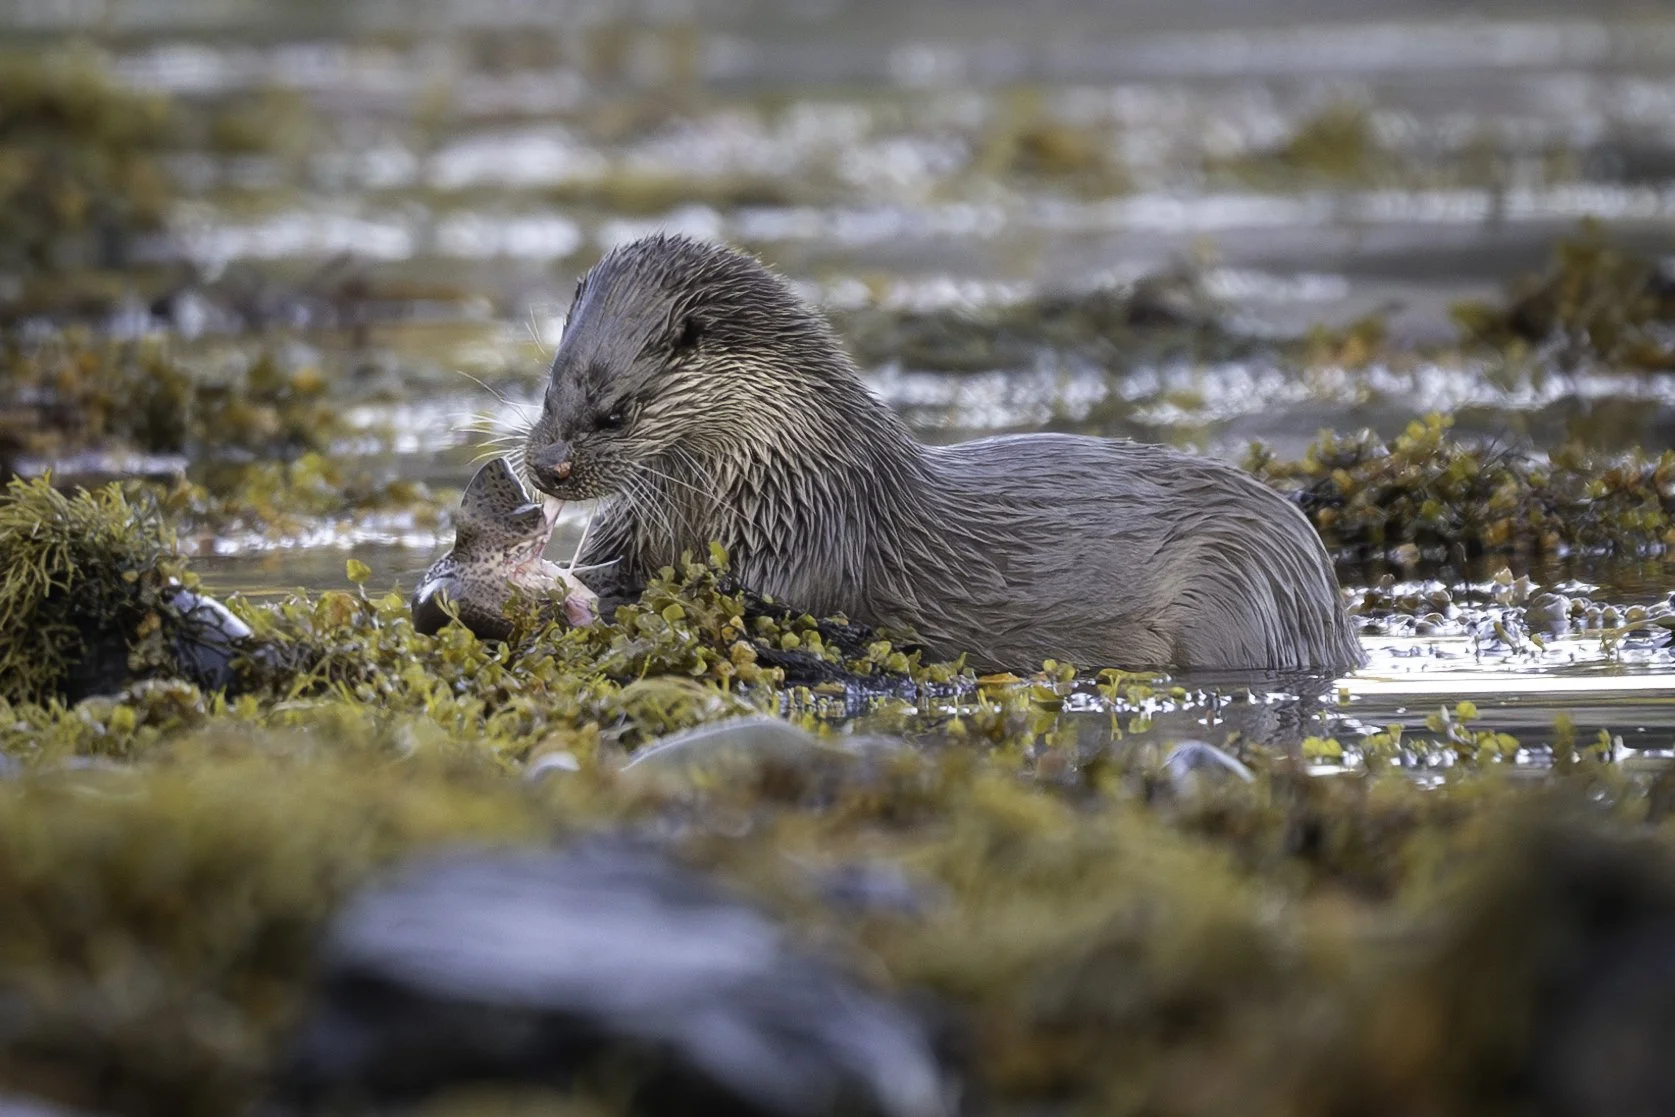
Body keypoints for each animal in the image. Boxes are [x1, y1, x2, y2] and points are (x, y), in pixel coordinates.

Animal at [519, 234, 1364, 674]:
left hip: (1237, 593)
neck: (786, 471)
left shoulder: (805, 546)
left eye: (617, 410)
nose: (545, 466)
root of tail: (1327, 602)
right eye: (548, 385)